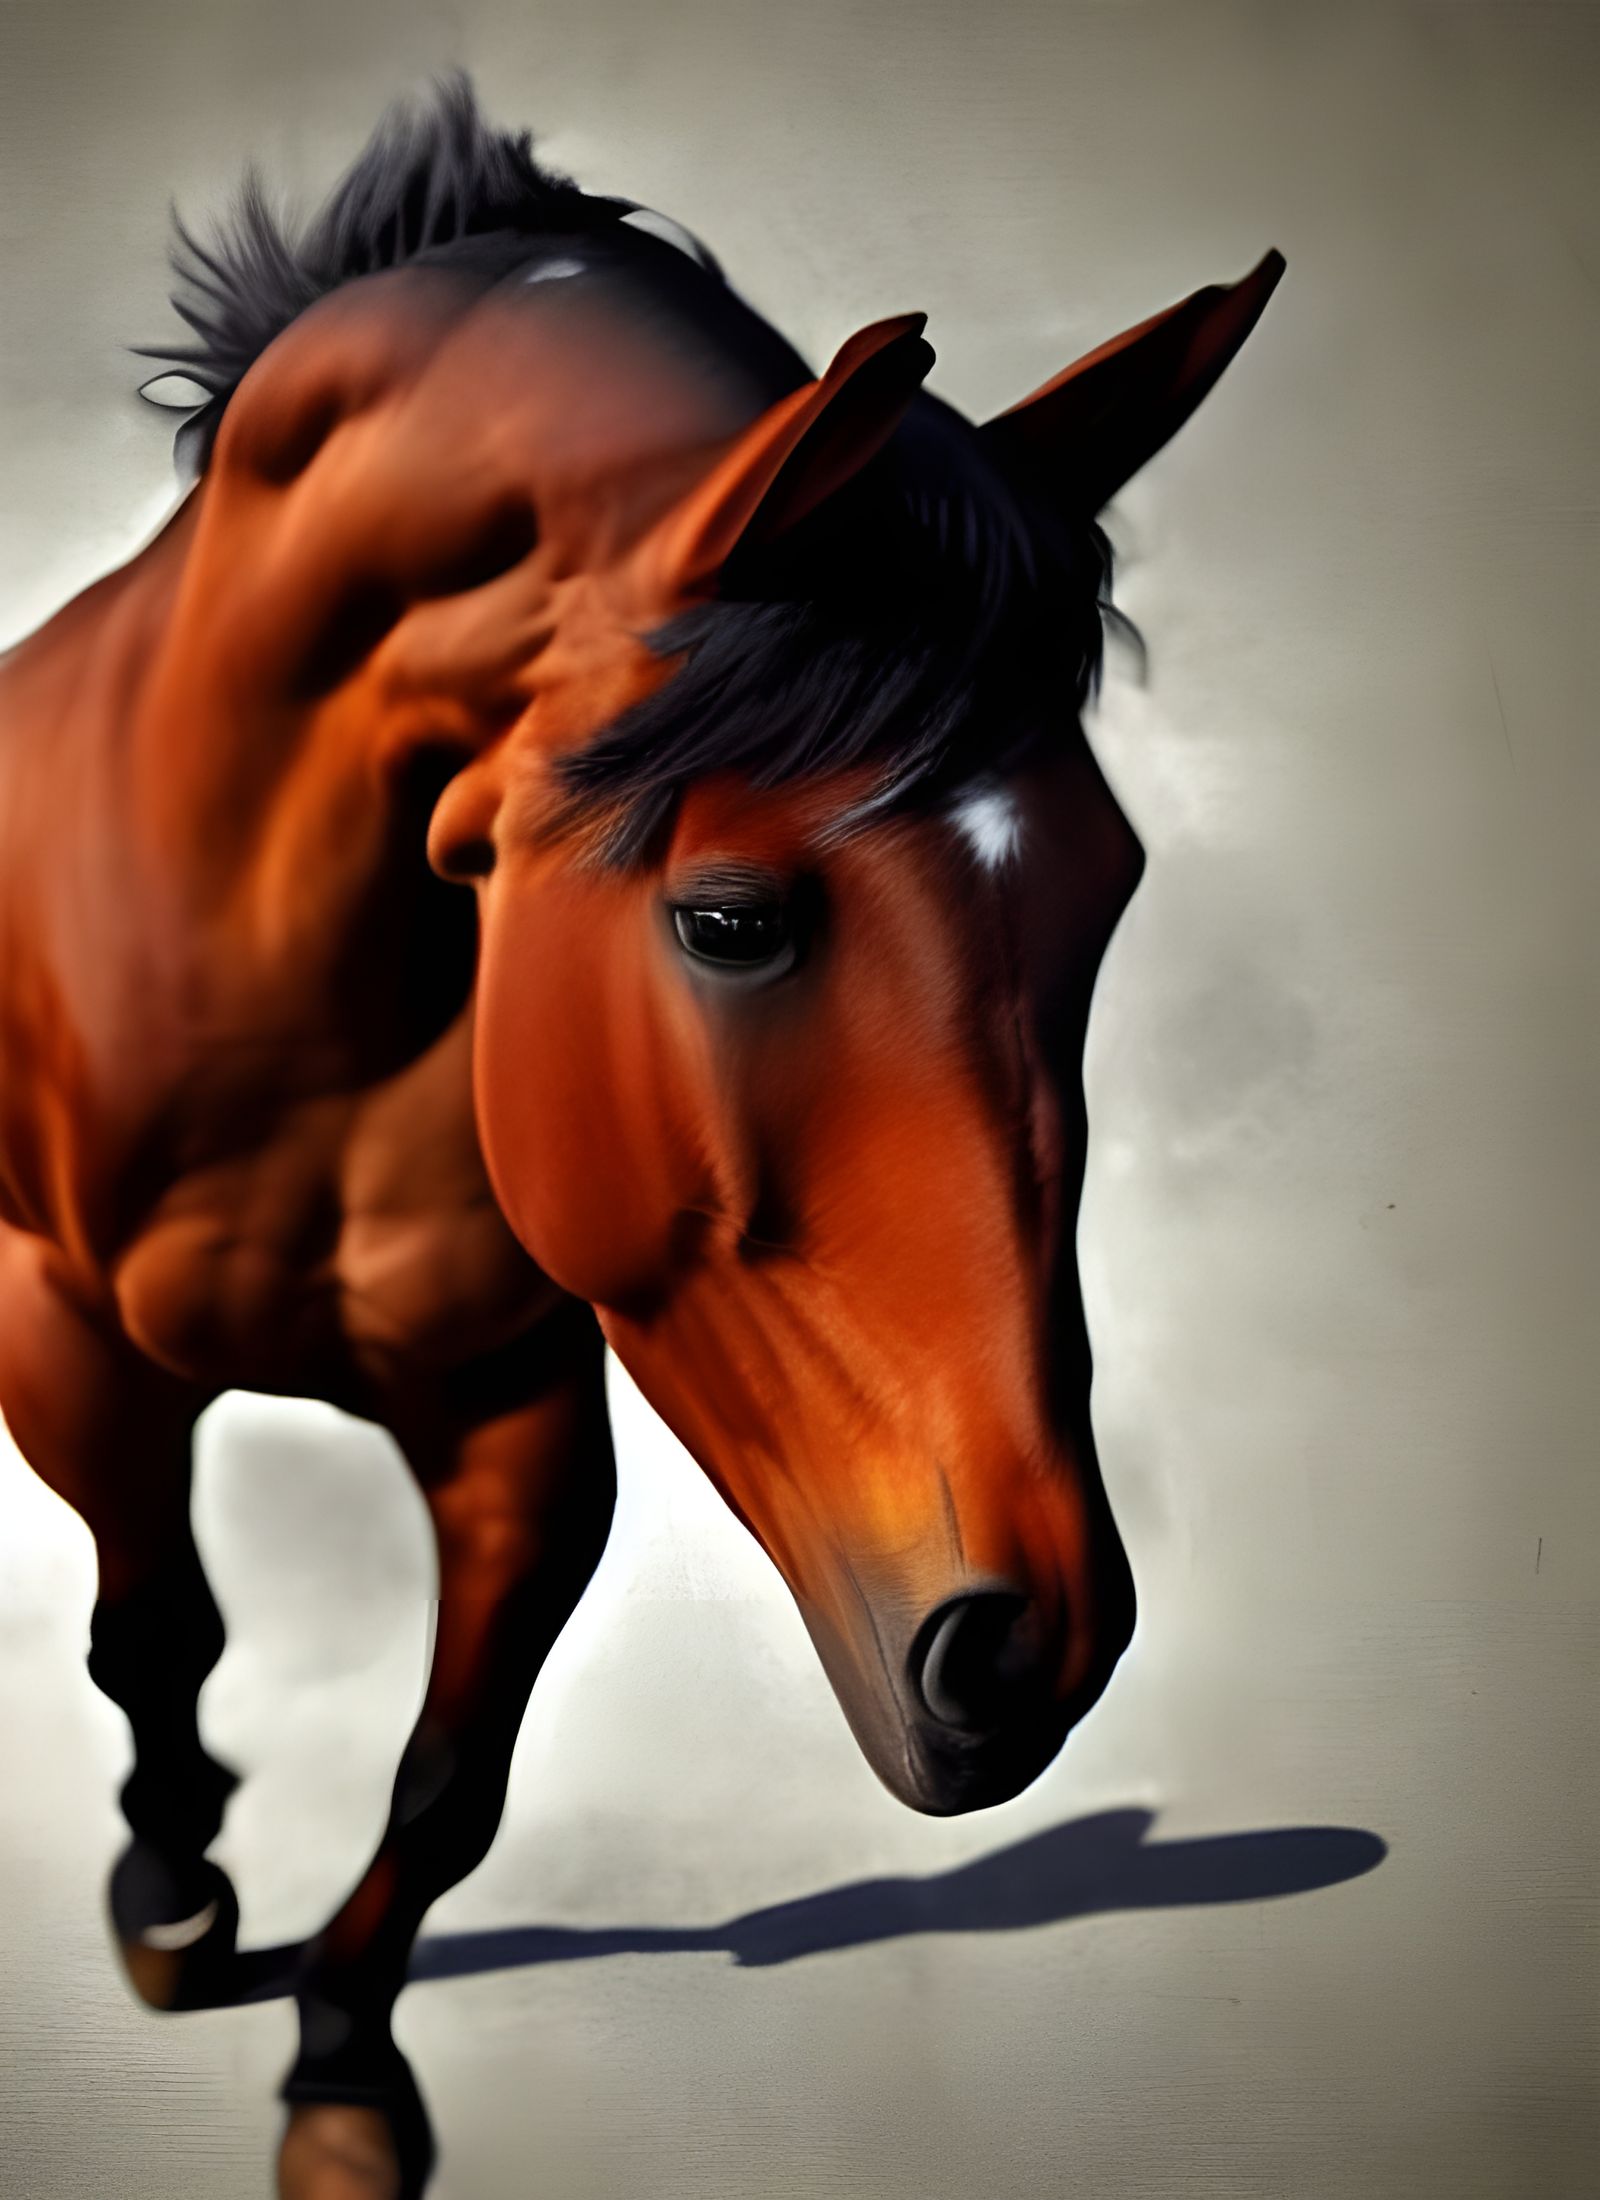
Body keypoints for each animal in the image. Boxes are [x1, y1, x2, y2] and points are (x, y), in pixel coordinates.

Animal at [0, 77, 1281, 2200]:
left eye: (1107, 891)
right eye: (731, 919)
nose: (1030, 1650)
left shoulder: (519, 1413)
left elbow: (451, 1780)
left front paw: (340, 2072)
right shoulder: (65, 1344)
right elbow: (156, 1633)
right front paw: (177, 1915)